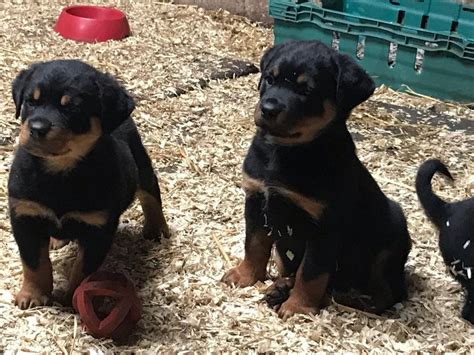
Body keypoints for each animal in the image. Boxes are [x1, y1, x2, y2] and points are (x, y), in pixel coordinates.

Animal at [8, 59, 169, 310]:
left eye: (72, 108)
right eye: (30, 101)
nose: (36, 128)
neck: (59, 173)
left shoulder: (98, 228)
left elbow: (83, 270)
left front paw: (74, 298)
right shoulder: (25, 215)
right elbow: (33, 263)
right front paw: (33, 294)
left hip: (141, 162)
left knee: (150, 194)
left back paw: (157, 228)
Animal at [222, 40, 412, 322]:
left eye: (306, 90)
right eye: (269, 79)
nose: (268, 108)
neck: (284, 151)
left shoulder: (324, 225)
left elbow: (311, 272)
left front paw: (298, 307)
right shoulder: (255, 200)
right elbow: (254, 244)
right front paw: (244, 276)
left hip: (392, 242)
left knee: (388, 291)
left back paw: (357, 301)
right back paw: (280, 287)